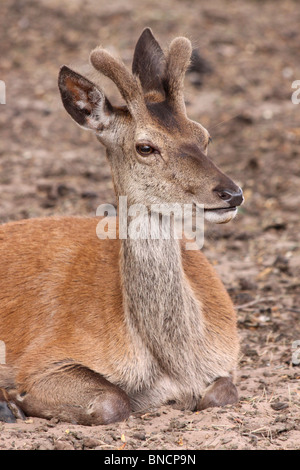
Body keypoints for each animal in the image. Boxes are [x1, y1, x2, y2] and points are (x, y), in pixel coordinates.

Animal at [0, 29, 244, 426]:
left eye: (204, 136)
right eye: (145, 146)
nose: (232, 193)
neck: (176, 366)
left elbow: (223, 391)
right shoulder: (42, 356)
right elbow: (113, 400)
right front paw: (16, 400)